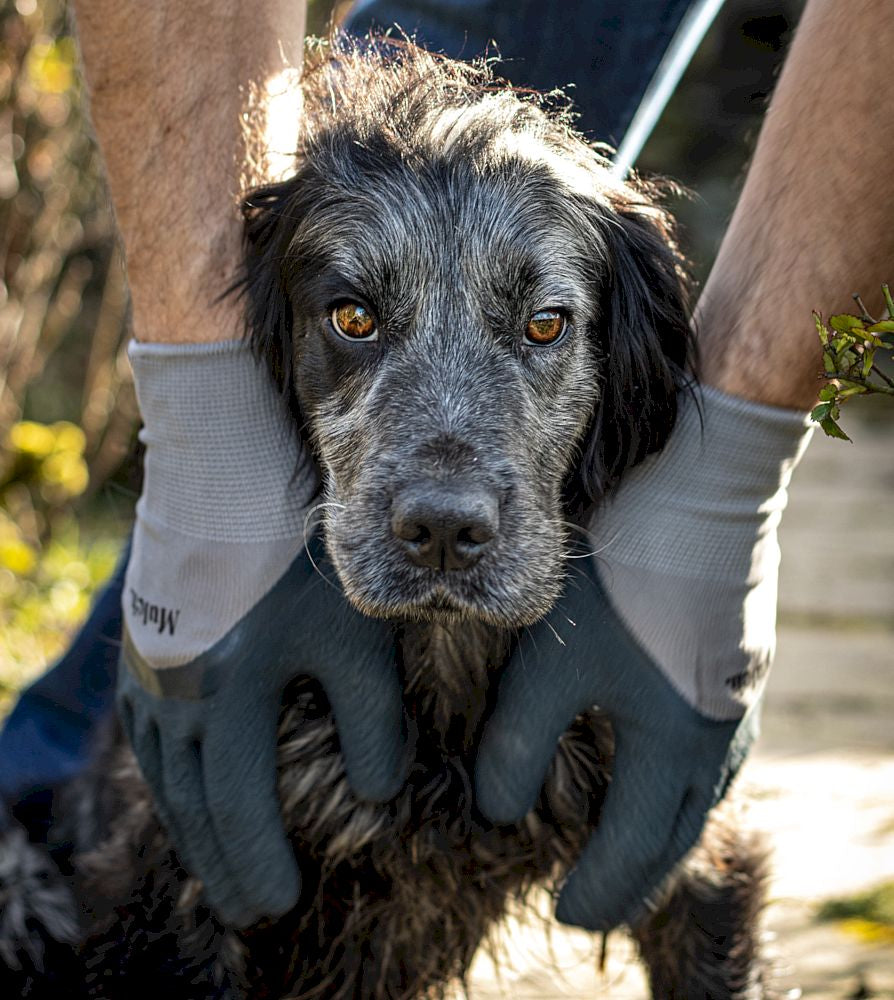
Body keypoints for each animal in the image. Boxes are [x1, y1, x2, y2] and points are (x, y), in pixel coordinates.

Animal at [0, 37, 772, 1000]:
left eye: (546, 324)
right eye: (353, 317)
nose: (443, 533)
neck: (440, 683)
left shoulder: (685, 846)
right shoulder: (183, 867)